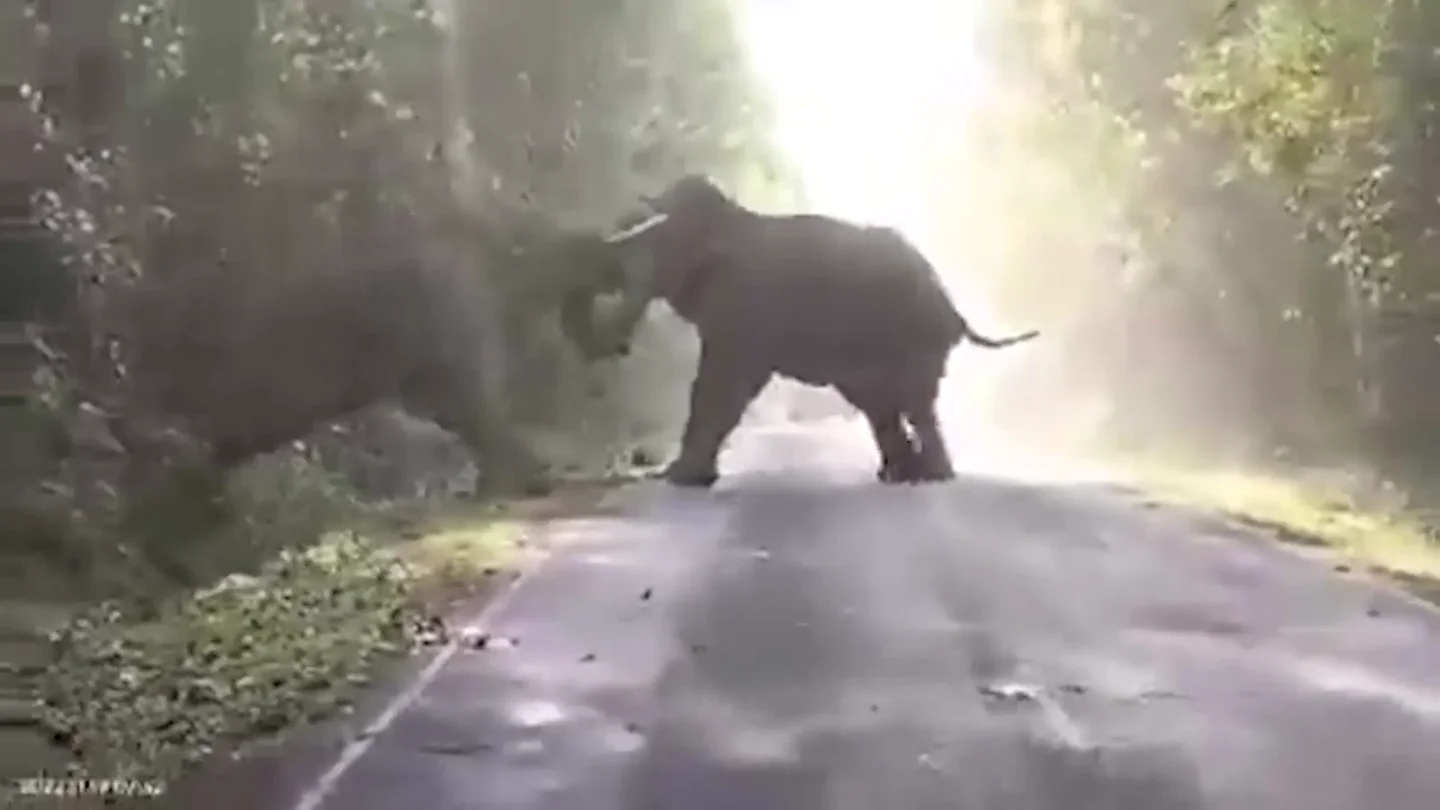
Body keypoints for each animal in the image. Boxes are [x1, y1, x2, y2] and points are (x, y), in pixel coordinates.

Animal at [597, 174, 1039, 487]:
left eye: (654, 244)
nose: (620, 347)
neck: (729, 219)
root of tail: (952, 304)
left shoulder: (745, 308)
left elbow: (722, 382)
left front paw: (681, 480)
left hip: (913, 333)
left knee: (912, 403)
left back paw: (929, 478)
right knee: (882, 404)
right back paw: (901, 476)